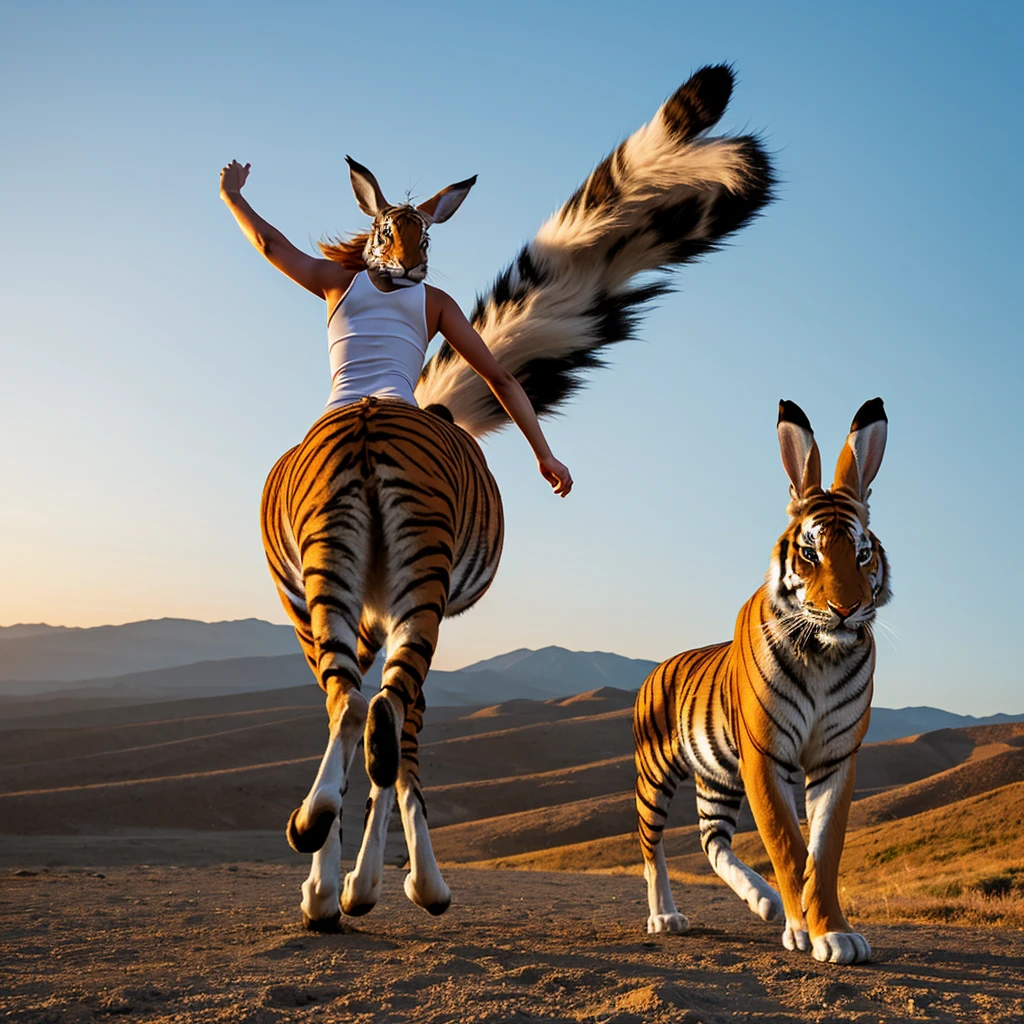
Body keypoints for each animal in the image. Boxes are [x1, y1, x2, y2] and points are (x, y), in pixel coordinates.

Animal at [262, 64, 777, 930]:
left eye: (426, 237)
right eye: (385, 232)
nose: (407, 272)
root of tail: (370, 418)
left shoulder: (382, 606)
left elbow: (380, 732)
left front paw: (353, 884)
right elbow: (395, 735)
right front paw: (378, 884)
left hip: (348, 586)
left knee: (358, 707)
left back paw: (330, 856)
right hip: (385, 588)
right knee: (376, 713)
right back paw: (355, 868)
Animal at [632, 398, 890, 964]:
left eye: (862, 554)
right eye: (811, 553)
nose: (846, 609)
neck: (824, 655)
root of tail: (655, 668)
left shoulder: (837, 757)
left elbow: (824, 851)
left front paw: (834, 931)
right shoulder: (764, 755)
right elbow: (788, 846)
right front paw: (807, 931)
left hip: (718, 779)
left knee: (712, 839)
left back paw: (764, 902)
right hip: (655, 775)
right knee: (651, 845)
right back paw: (666, 916)